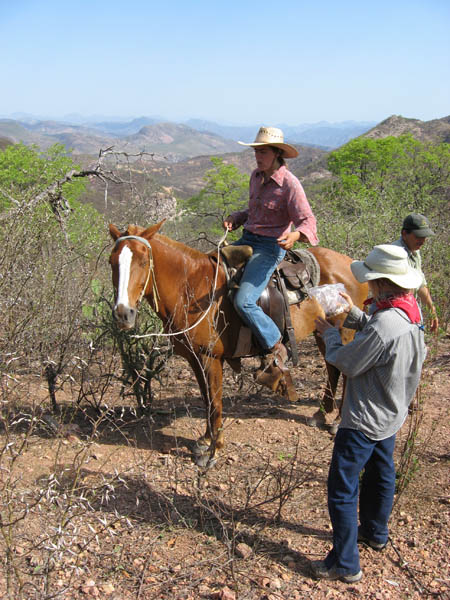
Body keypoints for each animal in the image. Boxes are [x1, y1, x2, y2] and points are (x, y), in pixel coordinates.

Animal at [108, 223, 366, 466]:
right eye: (112, 262)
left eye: (143, 262)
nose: (123, 314)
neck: (191, 287)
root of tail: (352, 263)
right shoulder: (195, 358)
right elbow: (206, 399)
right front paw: (205, 440)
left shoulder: (210, 358)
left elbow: (215, 401)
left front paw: (214, 451)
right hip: (322, 331)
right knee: (332, 369)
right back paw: (321, 415)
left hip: (345, 331)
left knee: (347, 372)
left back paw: (338, 421)